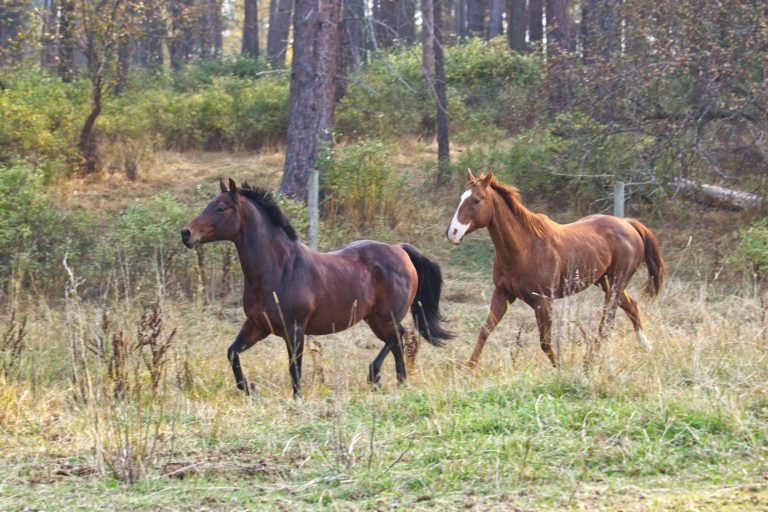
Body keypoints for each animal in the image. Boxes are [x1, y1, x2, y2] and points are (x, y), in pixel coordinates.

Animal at [181, 178, 452, 398]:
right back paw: (397, 383)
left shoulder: (295, 329)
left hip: (386, 317)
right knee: (397, 342)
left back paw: (377, 376)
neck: (279, 268)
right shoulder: (258, 325)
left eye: (220, 208)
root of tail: (400, 249)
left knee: (398, 337)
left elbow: (295, 368)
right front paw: (249, 388)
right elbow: (233, 353)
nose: (186, 233)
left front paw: (296, 398)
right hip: (373, 318)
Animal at [446, 170, 666, 367]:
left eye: (476, 200)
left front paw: (561, 367)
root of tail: (628, 223)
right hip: (605, 282)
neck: (525, 248)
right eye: (461, 198)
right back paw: (646, 347)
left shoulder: (543, 301)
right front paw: (470, 367)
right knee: (631, 306)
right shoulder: (502, 294)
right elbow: (485, 330)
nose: (452, 233)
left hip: (616, 283)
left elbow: (545, 342)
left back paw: (589, 361)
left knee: (607, 323)